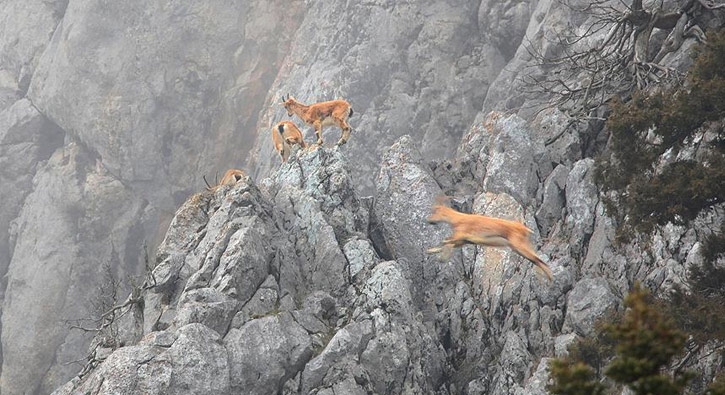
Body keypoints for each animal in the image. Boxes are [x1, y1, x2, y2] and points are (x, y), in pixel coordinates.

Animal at [424, 201, 556, 282]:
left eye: (436, 212)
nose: (429, 220)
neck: (458, 219)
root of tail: (525, 229)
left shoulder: (462, 235)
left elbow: (446, 241)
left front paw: (440, 255)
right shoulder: (463, 241)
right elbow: (447, 244)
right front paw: (433, 253)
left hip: (519, 246)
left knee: (538, 260)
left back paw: (549, 280)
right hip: (520, 247)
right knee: (536, 260)